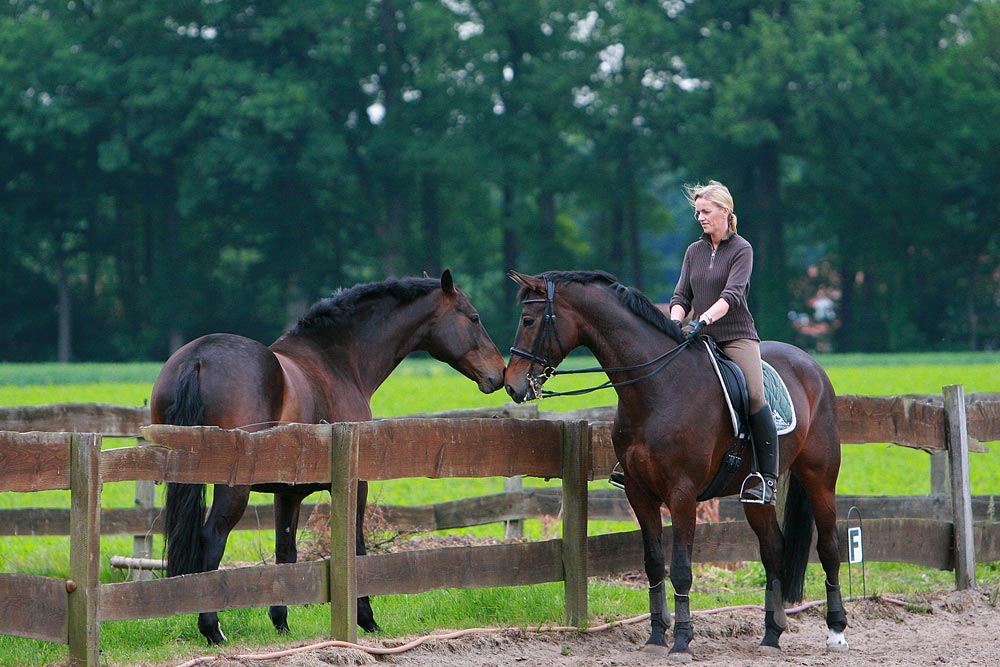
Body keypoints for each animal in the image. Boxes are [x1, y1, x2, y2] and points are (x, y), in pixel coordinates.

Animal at [150, 272, 508, 648]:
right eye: (474, 317)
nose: (499, 373)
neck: (336, 363)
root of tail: (197, 360)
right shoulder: (355, 484)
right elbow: (356, 547)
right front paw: (366, 619)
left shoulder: (287, 493)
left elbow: (286, 552)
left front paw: (281, 623)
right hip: (233, 488)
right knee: (212, 538)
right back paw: (212, 628)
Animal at [508, 272, 844, 664]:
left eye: (528, 320)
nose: (512, 384)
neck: (658, 387)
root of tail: (811, 364)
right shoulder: (639, 492)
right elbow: (654, 562)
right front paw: (656, 636)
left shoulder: (682, 494)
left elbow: (681, 569)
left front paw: (682, 640)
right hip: (754, 496)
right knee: (773, 549)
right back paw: (771, 634)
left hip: (819, 477)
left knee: (829, 546)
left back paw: (836, 630)